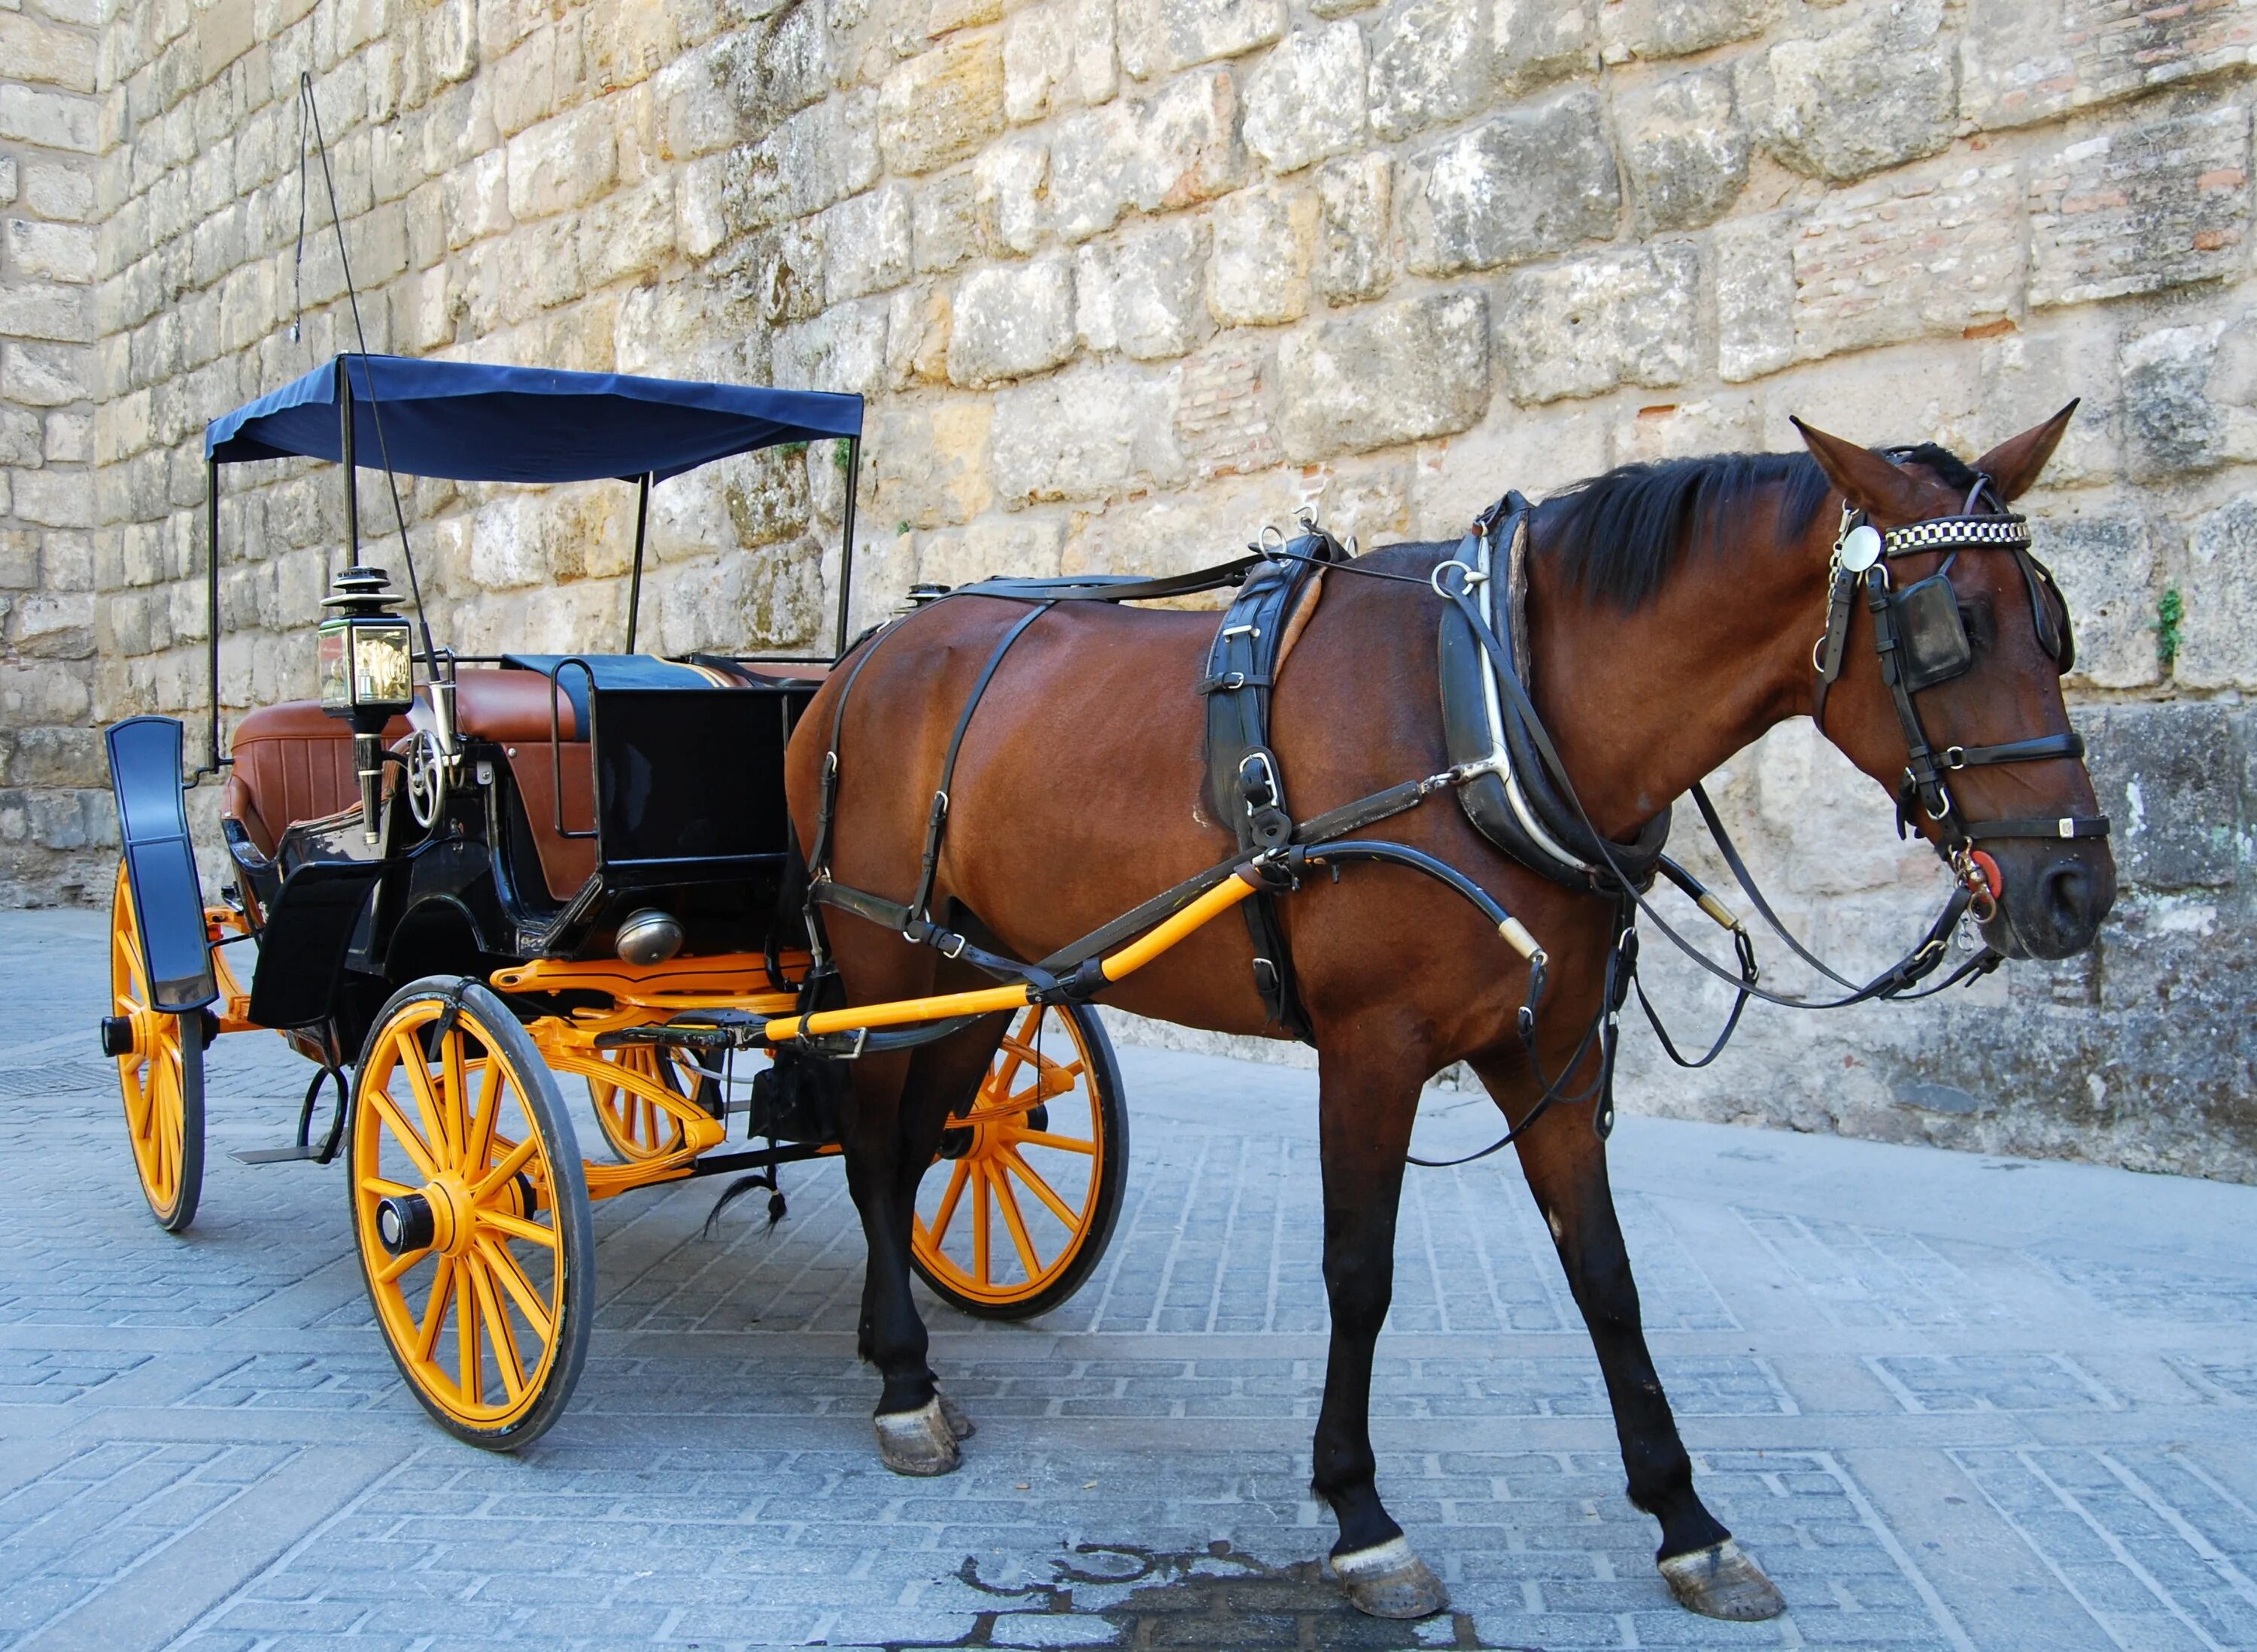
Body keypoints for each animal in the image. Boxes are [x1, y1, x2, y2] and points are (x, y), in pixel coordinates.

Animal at [781, 413, 2113, 1625]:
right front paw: (1361, 1515)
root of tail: (866, 654)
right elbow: (1359, 1272)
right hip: (882, 950)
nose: (2075, 885)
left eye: (2053, 623)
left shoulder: (1554, 1055)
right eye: (1948, 633)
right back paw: (902, 1385)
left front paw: (1687, 1518)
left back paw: (901, 1351)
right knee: (870, 1147)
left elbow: (1607, 1275)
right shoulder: (1372, 1052)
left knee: (927, 1145)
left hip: (980, 974)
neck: (1494, 717)